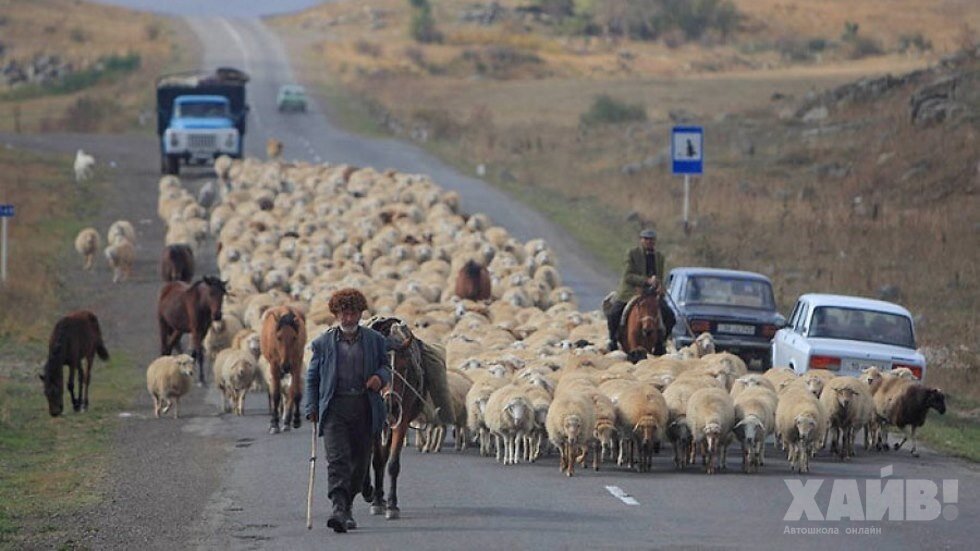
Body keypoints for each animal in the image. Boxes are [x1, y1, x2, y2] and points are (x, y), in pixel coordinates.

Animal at [260, 306, 306, 436]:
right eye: (278, 337)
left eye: (294, 337)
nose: (285, 366)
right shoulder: (274, 365)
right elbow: (276, 394)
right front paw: (274, 424)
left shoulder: (296, 363)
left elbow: (295, 393)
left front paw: (296, 420)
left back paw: (286, 422)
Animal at [366, 320, 426, 520]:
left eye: (405, 368)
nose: (391, 405)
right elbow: (377, 460)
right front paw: (377, 503)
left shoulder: (402, 420)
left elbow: (392, 463)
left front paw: (392, 505)